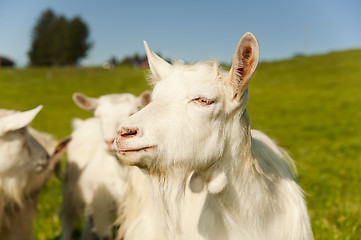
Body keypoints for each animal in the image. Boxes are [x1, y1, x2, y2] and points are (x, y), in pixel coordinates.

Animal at [61, 91, 150, 239]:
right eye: (99, 116)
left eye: (132, 113)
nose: (109, 141)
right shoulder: (102, 204)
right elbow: (106, 235)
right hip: (70, 186)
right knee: (67, 216)